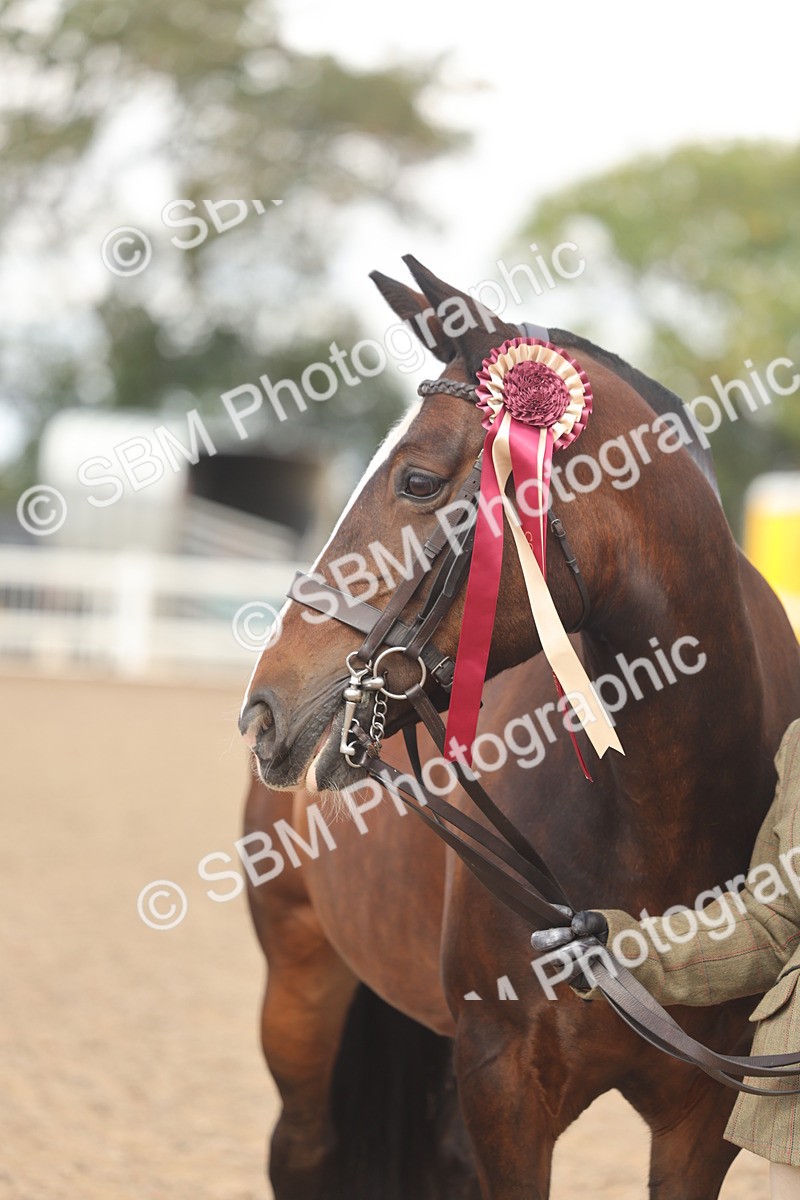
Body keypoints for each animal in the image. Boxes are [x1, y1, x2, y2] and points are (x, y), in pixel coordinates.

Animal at [239, 256, 800, 1199]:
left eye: (418, 481)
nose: (264, 707)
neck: (658, 809)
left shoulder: (702, 1117)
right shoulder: (503, 1086)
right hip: (299, 994)